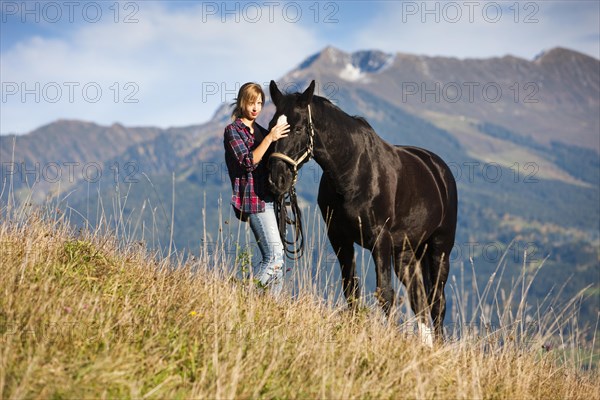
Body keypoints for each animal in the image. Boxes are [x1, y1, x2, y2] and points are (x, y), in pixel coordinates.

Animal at [270, 80, 458, 344]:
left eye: (297, 129)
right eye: (271, 126)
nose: (277, 179)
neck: (353, 171)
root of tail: (438, 169)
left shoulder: (380, 240)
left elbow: (385, 293)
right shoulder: (340, 239)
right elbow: (351, 289)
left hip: (440, 248)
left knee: (437, 302)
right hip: (406, 254)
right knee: (419, 298)